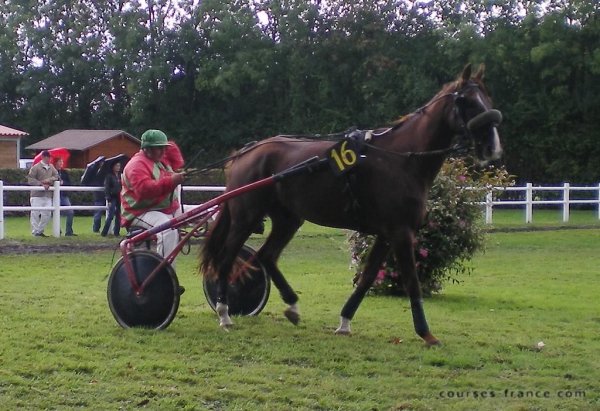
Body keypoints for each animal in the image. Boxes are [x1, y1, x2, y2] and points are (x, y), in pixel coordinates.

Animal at [200, 64, 502, 346]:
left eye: (487, 98)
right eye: (467, 102)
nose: (492, 147)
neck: (400, 159)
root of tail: (245, 152)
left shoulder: (386, 234)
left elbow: (367, 277)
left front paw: (345, 321)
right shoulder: (401, 231)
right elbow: (411, 281)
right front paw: (426, 333)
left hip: (288, 219)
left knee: (266, 256)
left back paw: (292, 305)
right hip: (246, 217)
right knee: (227, 258)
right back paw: (225, 313)